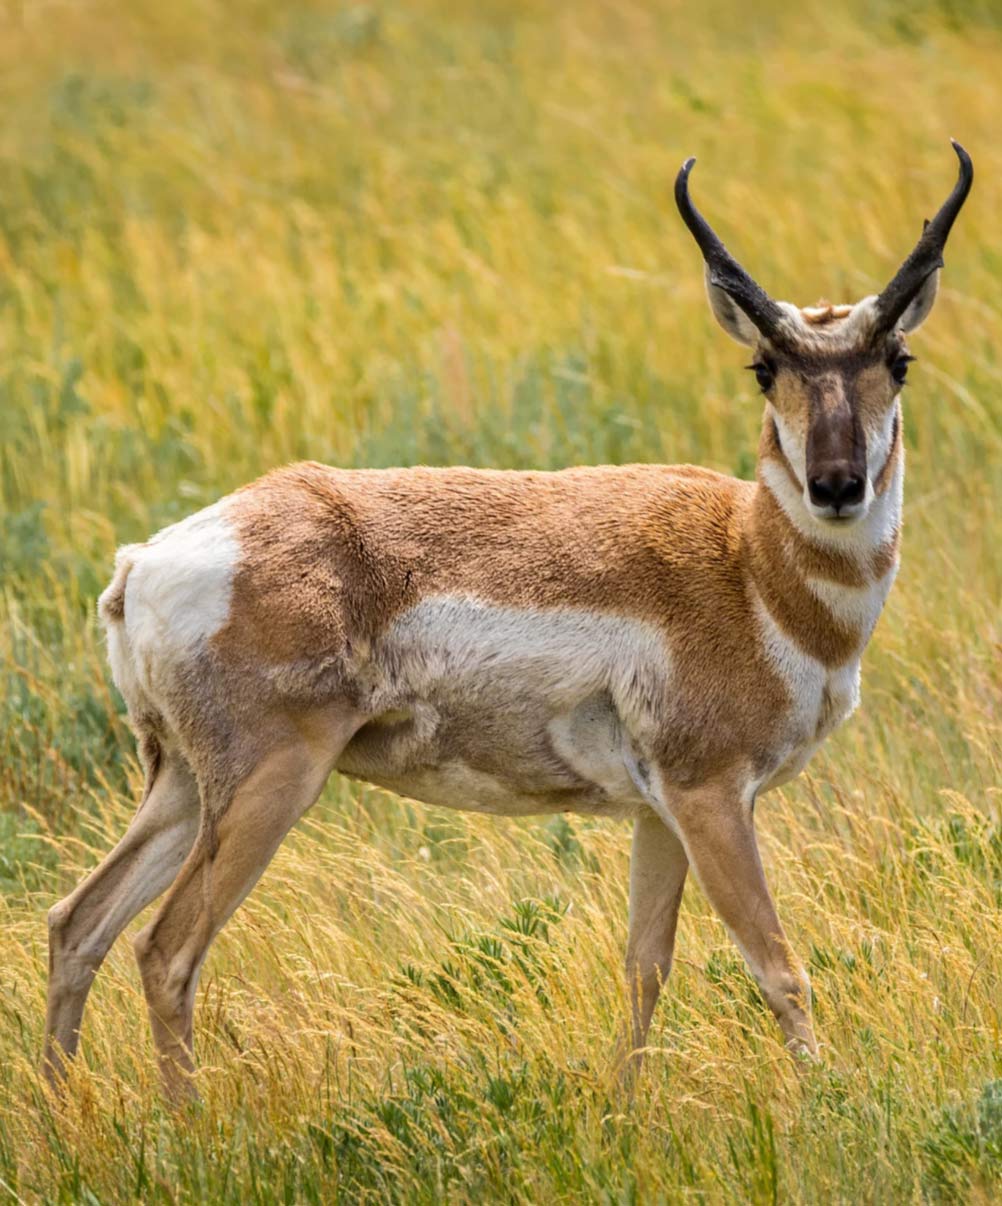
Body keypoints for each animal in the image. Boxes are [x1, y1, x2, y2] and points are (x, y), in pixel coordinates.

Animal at [44, 143, 973, 1099]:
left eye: (897, 359)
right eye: (764, 368)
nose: (836, 487)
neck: (746, 560)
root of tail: (144, 563)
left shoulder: (660, 811)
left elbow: (645, 965)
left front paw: (623, 1110)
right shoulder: (712, 794)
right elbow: (779, 967)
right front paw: (829, 1096)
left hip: (184, 787)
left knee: (77, 924)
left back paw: (62, 1108)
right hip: (269, 786)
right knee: (166, 950)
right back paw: (187, 1120)